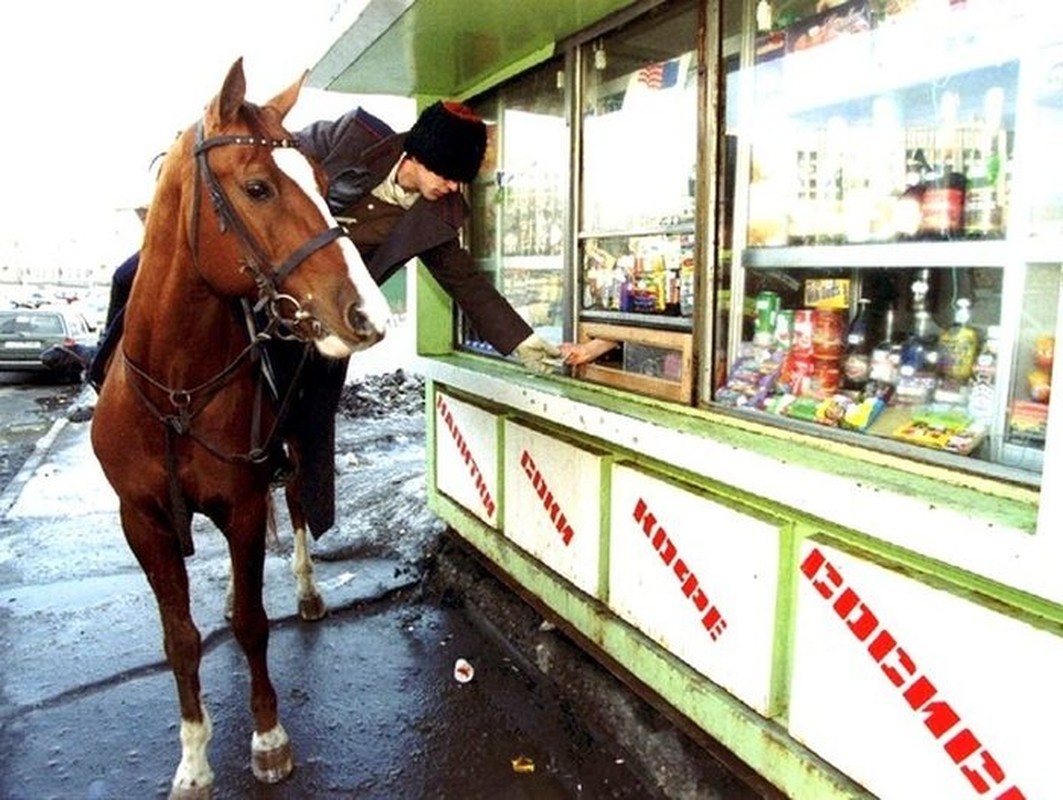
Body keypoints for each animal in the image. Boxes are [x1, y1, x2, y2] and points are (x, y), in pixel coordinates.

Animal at [90, 59, 391, 794]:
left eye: (325, 185)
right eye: (257, 187)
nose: (369, 315)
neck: (176, 383)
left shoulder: (248, 503)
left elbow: (256, 625)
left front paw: (268, 738)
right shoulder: (142, 521)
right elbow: (180, 639)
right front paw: (194, 759)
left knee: (299, 512)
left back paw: (307, 589)